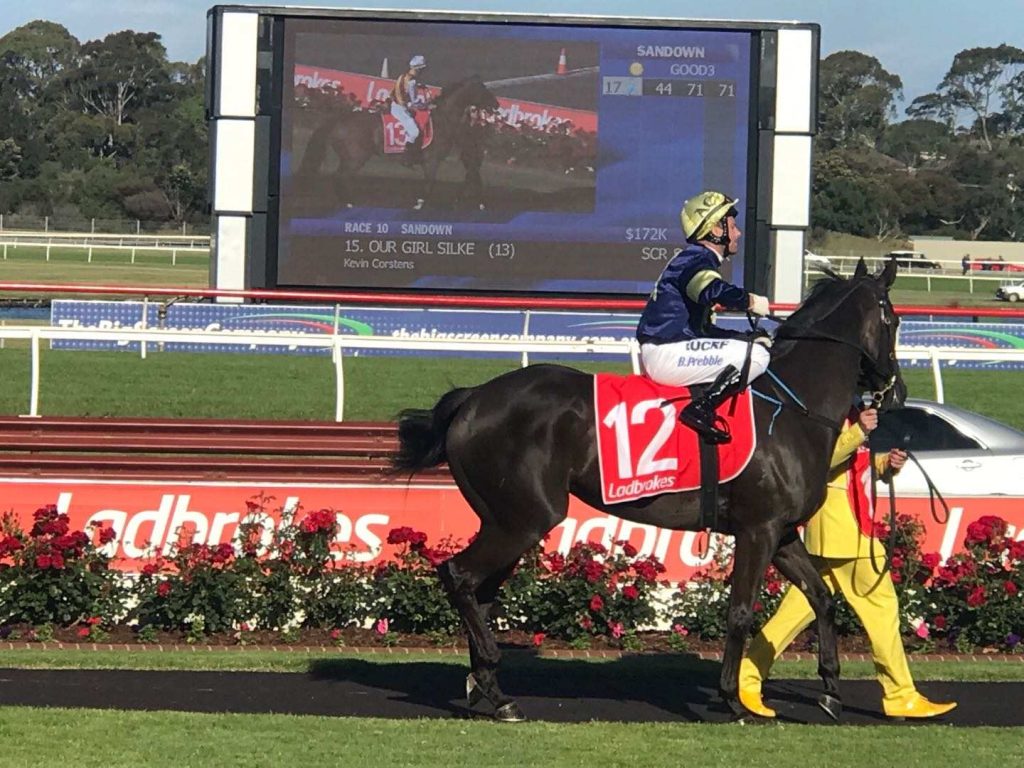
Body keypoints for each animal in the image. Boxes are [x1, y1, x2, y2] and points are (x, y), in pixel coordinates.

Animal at [294, 76, 500, 211]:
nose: (497, 105)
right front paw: (419, 204)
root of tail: (338, 120)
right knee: (340, 177)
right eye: (483, 90)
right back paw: (349, 202)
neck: (443, 118)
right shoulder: (431, 160)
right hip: (355, 157)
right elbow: (430, 183)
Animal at [390, 257, 906, 722]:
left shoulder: (781, 533)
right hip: (526, 519)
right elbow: (740, 611)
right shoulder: (757, 529)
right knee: (459, 575)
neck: (792, 407)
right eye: (894, 319)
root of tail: (473, 399)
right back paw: (494, 687)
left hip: (504, 519)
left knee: (480, 591)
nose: (895, 391)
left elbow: (822, 598)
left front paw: (831, 690)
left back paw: (489, 688)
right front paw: (734, 700)